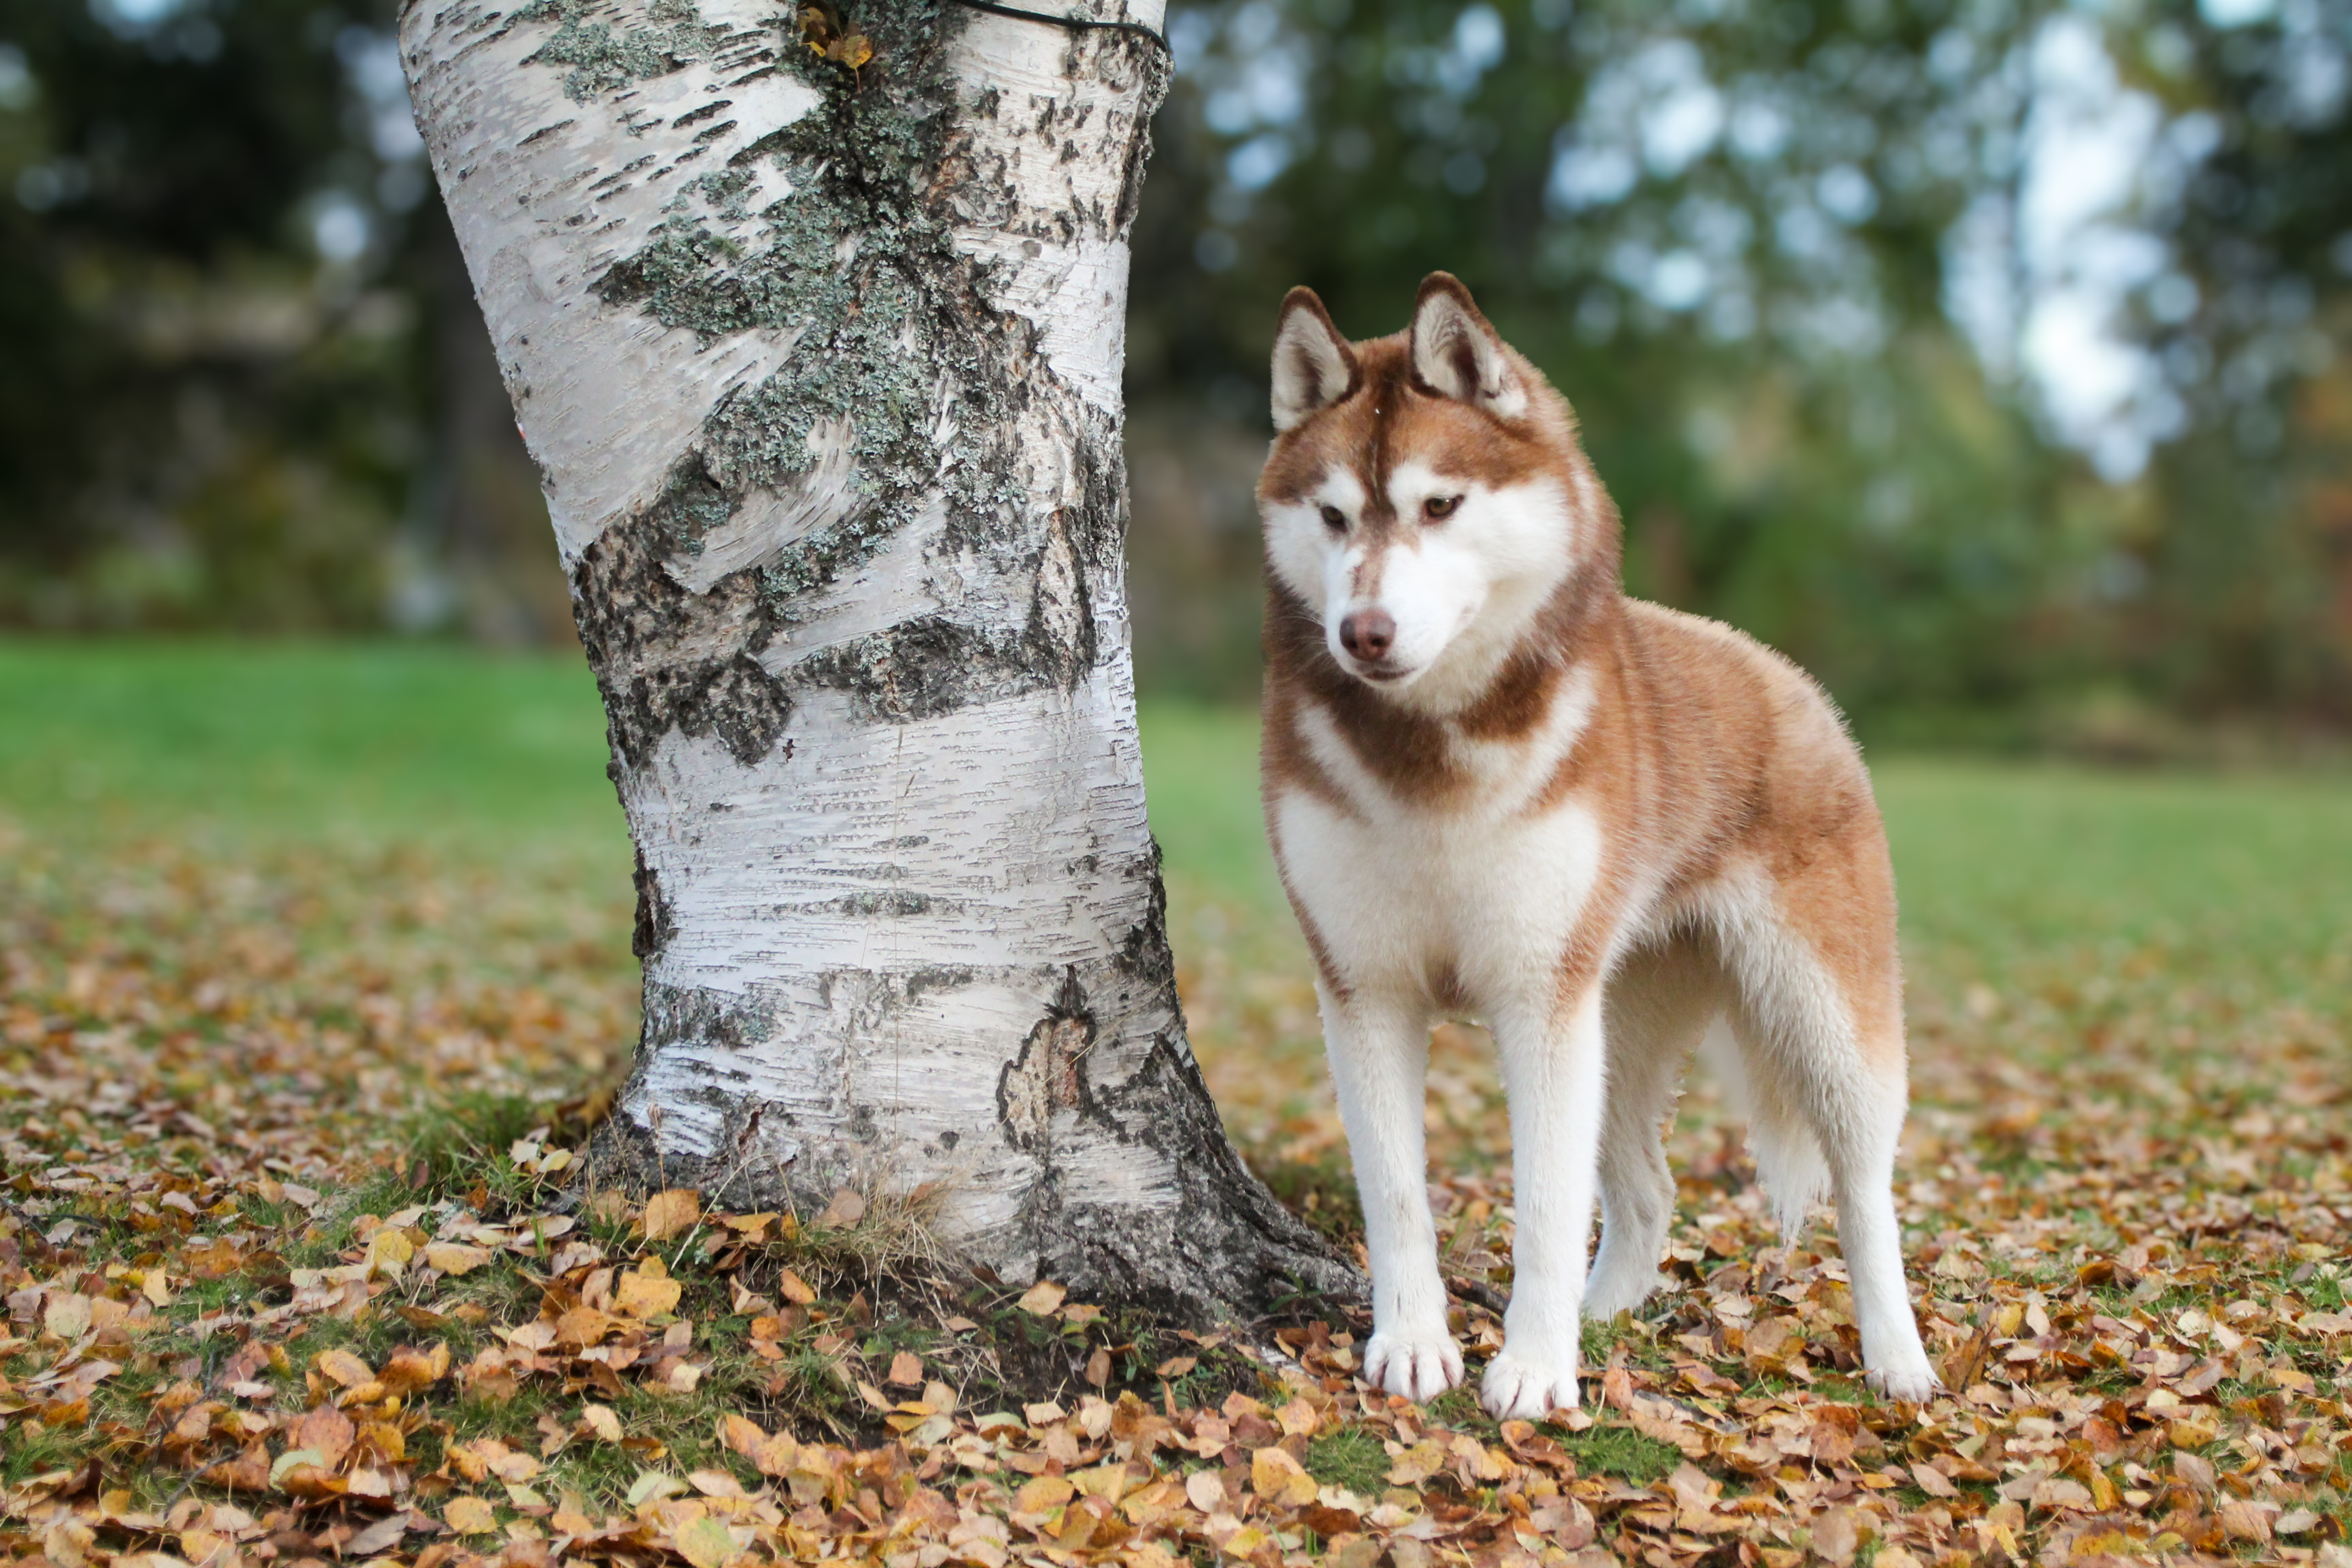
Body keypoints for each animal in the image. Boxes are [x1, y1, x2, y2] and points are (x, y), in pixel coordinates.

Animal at [1260, 273, 1938, 1419]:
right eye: (1333, 515)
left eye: (1440, 505)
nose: (1364, 632)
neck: (1432, 754)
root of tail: (1791, 680)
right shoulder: (1363, 989)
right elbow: (1396, 1191)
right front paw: (1414, 1342)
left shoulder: (1540, 996)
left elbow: (1543, 1203)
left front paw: (1535, 1364)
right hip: (1616, 1022)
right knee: (1649, 1188)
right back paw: (1608, 1309)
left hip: (1818, 1017)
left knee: (1863, 1184)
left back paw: (1895, 1353)